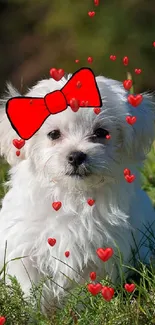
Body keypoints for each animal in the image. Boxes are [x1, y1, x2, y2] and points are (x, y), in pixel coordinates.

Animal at [0, 73, 155, 308]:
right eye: (53, 134)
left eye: (101, 133)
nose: (76, 156)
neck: (72, 196)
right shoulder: (24, 248)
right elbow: (28, 287)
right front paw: (31, 310)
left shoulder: (99, 254)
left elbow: (83, 291)